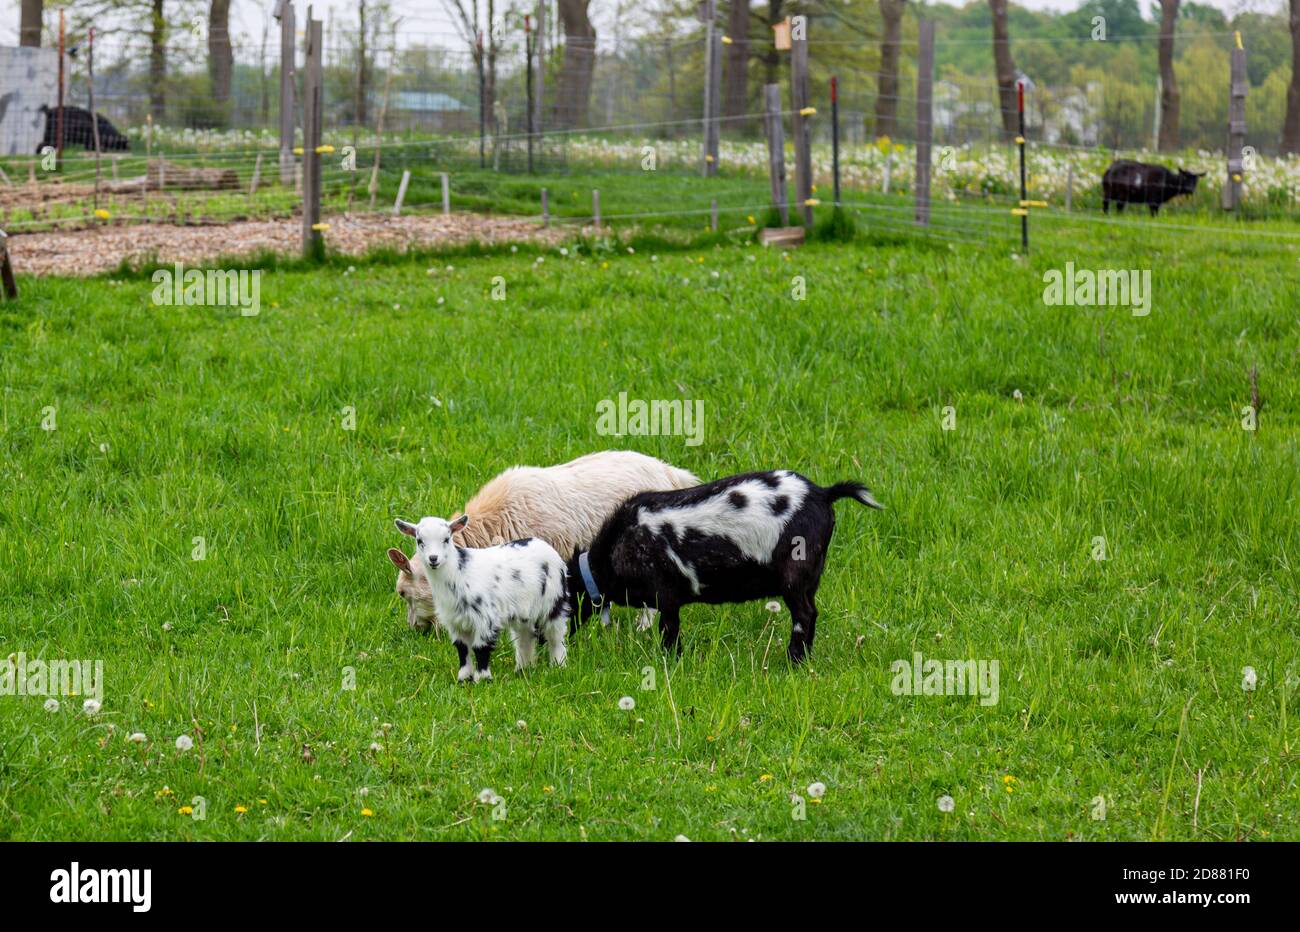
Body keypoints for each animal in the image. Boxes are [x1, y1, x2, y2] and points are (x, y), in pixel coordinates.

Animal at [387, 512, 566, 681]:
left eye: (446, 539)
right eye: (419, 540)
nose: (433, 559)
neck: (458, 572)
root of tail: (543, 544)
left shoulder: (485, 617)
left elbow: (480, 647)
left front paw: (482, 679)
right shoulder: (454, 620)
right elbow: (462, 648)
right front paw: (464, 678)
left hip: (554, 601)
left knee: (556, 635)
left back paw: (558, 665)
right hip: (523, 610)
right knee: (524, 636)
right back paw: (523, 669)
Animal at [569, 473, 883, 662]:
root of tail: (823, 493)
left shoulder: (666, 594)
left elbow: (669, 630)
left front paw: (672, 660)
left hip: (795, 571)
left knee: (803, 615)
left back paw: (793, 660)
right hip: (811, 575)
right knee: (813, 612)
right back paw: (805, 657)